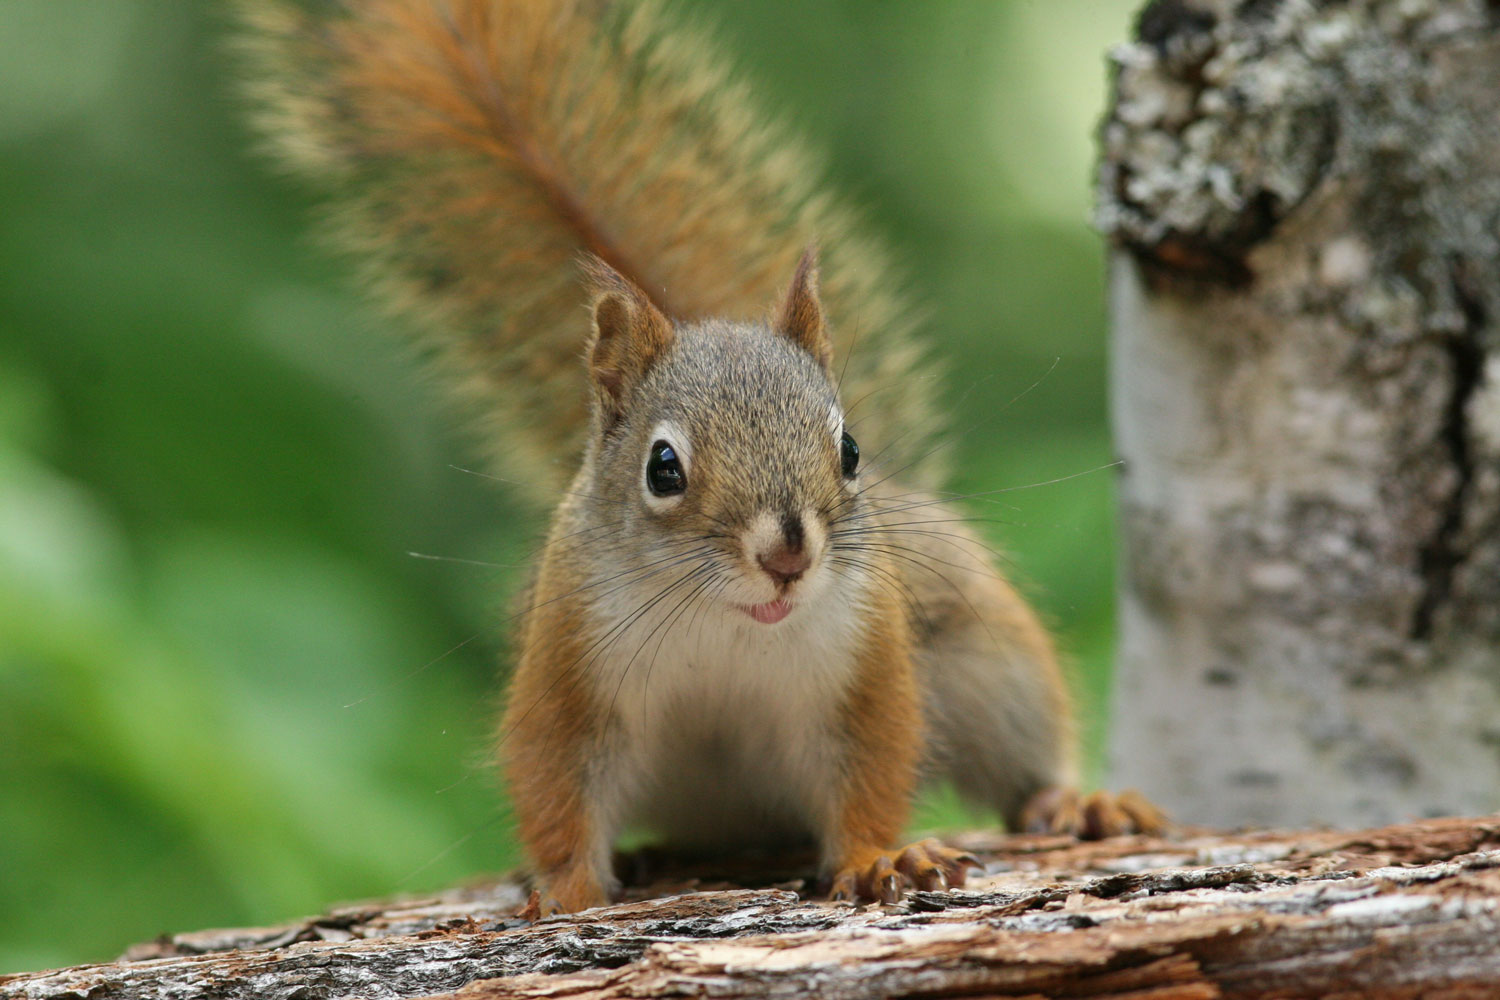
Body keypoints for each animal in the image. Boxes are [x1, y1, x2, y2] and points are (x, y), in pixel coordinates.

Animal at [240, 0, 1164, 917]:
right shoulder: (567, 666)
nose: (788, 556)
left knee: (1024, 763)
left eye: (850, 450)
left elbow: (870, 768)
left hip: (990, 665)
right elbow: (555, 781)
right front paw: (565, 886)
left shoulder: (867, 663)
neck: (727, 624)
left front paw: (878, 858)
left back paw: (1078, 802)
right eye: (663, 468)